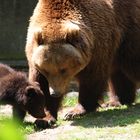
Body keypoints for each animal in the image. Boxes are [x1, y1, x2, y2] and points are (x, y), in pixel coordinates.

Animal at [25, 0, 140, 128]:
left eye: (63, 69)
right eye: (46, 70)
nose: (55, 93)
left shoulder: (97, 47)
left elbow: (92, 79)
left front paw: (75, 111)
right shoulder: (35, 58)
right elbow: (41, 84)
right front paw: (44, 119)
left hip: (129, 32)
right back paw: (116, 101)